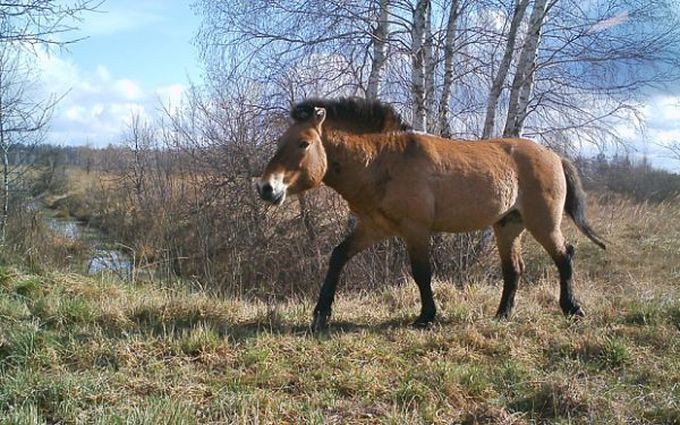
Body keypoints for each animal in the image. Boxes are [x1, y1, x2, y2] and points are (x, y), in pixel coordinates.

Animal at [256, 97, 604, 330]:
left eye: (303, 143)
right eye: (282, 141)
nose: (266, 188)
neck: (384, 159)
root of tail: (554, 156)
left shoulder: (416, 229)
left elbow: (421, 272)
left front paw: (426, 316)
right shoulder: (374, 228)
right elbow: (338, 256)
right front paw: (321, 314)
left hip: (542, 223)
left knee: (565, 256)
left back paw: (572, 308)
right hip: (507, 226)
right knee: (514, 269)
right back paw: (502, 314)